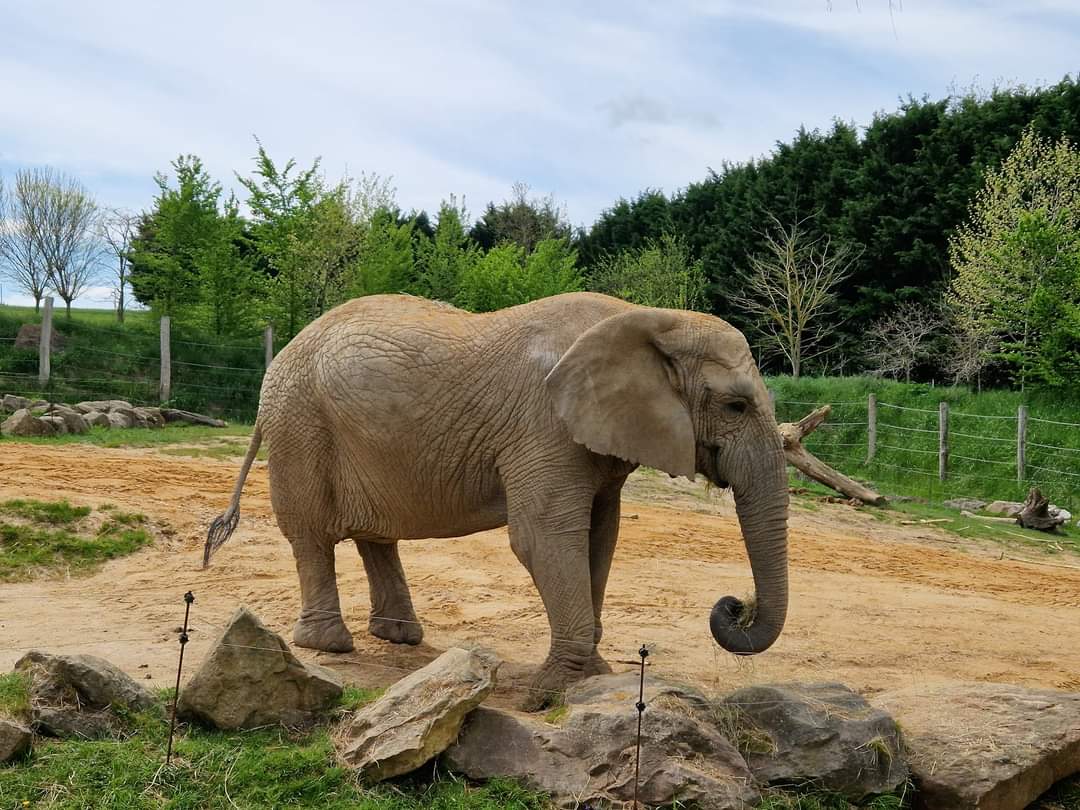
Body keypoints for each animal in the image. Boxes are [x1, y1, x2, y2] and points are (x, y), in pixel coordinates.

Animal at [205, 292, 789, 708]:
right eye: (736, 406)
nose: (735, 605)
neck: (647, 319)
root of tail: (281, 356)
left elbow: (601, 537)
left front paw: (591, 678)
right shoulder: (544, 426)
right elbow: (543, 538)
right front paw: (553, 695)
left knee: (375, 533)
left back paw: (400, 638)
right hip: (300, 425)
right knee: (311, 535)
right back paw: (330, 646)